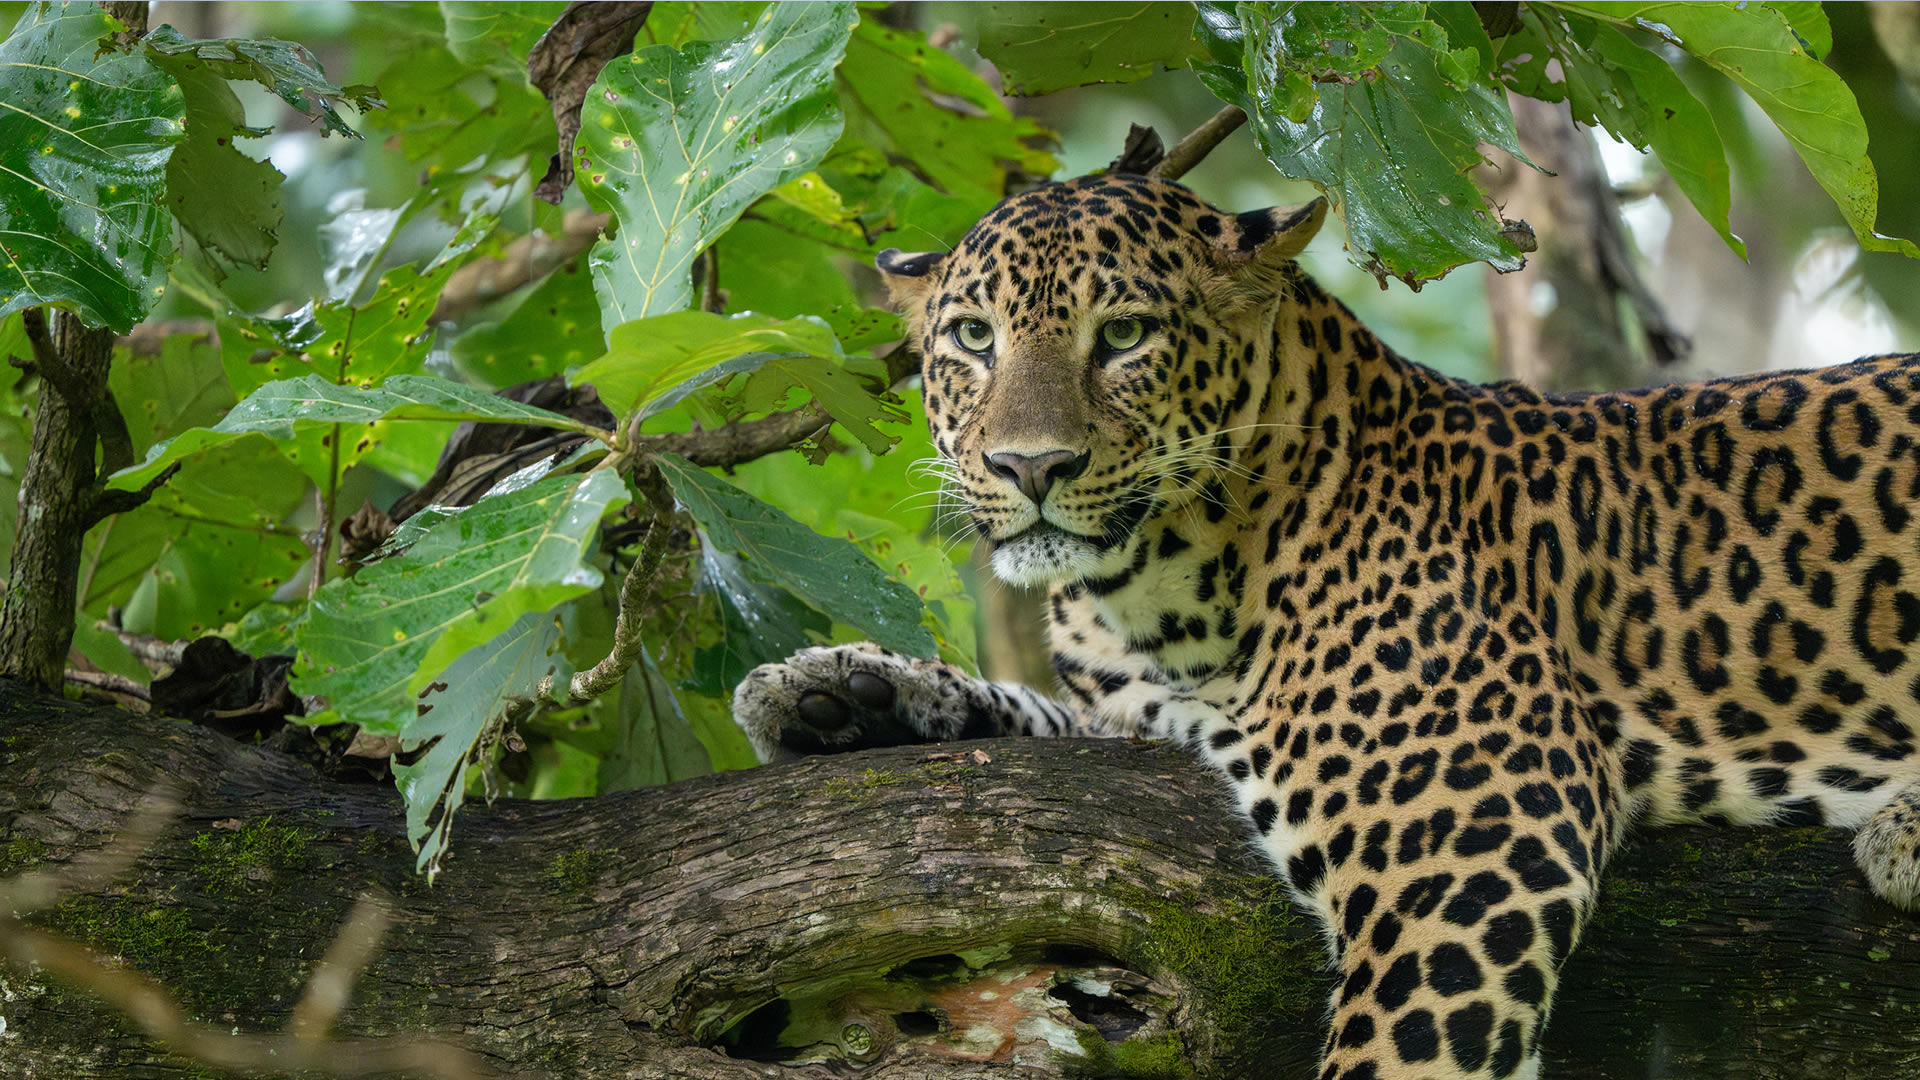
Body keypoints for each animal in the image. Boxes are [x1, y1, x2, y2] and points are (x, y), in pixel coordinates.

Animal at [731, 172, 1920, 1080]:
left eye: (1124, 337)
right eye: (974, 338)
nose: (1030, 467)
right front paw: (837, 691)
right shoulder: (1130, 722)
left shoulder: (1481, 825)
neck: (1147, 595)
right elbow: (1032, 719)